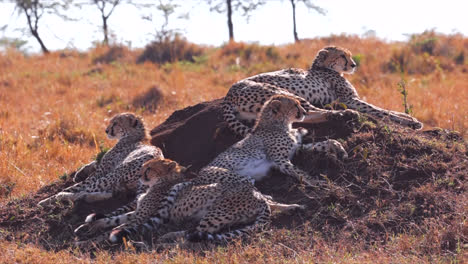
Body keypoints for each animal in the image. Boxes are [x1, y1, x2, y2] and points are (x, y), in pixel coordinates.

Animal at [223, 45, 424, 136]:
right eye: (342, 56)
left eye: (350, 55)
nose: (354, 64)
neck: (323, 67)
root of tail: (229, 92)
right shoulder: (348, 99)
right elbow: (379, 111)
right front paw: (410, 122)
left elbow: (384, 109)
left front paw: (409, 117)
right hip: (283, 93)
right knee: (309, 112)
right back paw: (345, 114)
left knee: (305, 117)